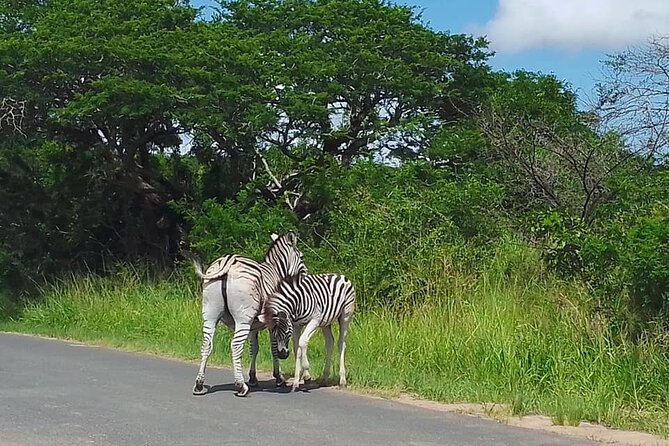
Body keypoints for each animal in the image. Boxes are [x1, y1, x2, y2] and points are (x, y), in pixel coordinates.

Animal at [187, 232, 304, 396]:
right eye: (302, 257)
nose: (304, 275)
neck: (275, 272)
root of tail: (229, 261)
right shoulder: (272, 322)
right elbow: (273, 347)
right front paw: (279, 378)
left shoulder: (254, 325)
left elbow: (253, 348)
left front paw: (253, 377)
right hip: (242, 319)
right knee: (235, 346)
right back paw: (240, 385)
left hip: (210, 314)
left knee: (206, 344)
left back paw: (199, 384)